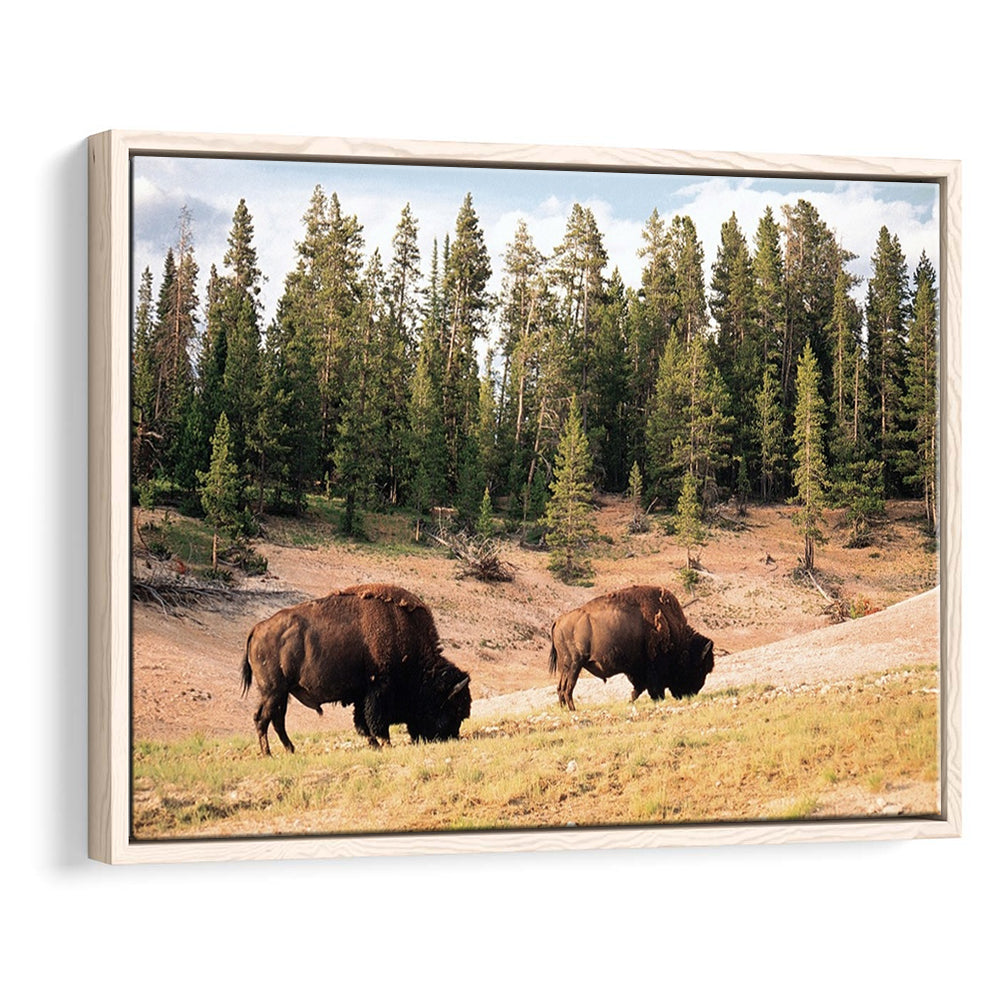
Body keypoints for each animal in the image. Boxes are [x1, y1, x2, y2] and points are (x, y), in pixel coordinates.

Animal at [240, 584, 471, 755]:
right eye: (454, 709)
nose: (450, 738)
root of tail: (258, 628)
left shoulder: (362, 694)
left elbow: (362, 722)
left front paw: (375, 745)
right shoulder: (379, 688)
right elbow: (376, 721)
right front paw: (386, 744)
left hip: (280, 693)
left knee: (276, 720)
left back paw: (290, 750)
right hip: (273, 691)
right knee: (262, 719)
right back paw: (268, 754)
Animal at [548, 585, 714, 711]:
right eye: (700, 668)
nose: (692, 693)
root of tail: (559, 620)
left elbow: (639, 689)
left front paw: (630, 701)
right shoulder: (653, 668)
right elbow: (651, 689)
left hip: (567, 667)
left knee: (561, 687)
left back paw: (564, 709)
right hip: (574, 665)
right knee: (568, 687)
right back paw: (572, 709)